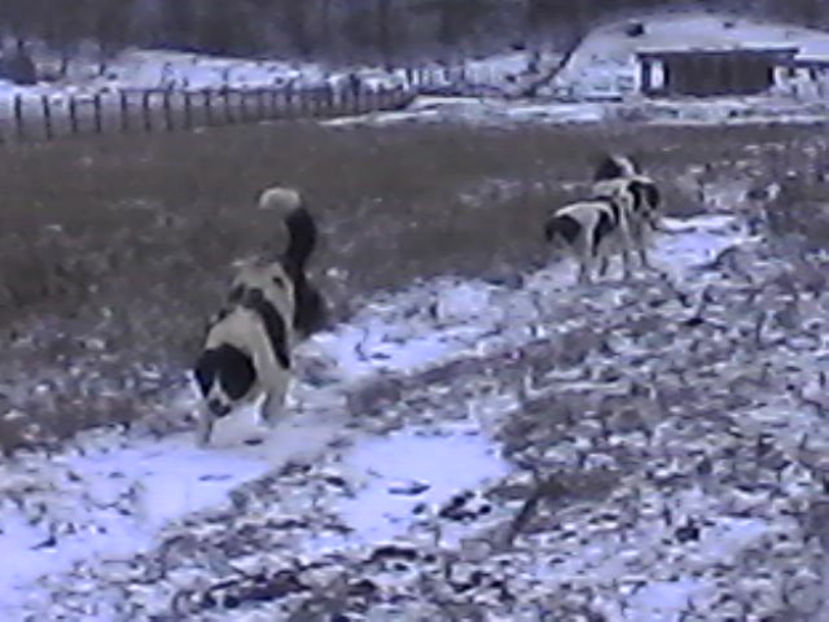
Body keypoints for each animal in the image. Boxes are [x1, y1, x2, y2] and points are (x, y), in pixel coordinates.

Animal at [192, 186, 326, 448]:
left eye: (229, 379)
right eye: (208, 380)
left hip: (300, 322)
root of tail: (285, 259)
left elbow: (271, 407)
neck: (235, 342)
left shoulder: (279, 375)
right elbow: (204, 419)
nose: (216, 402)